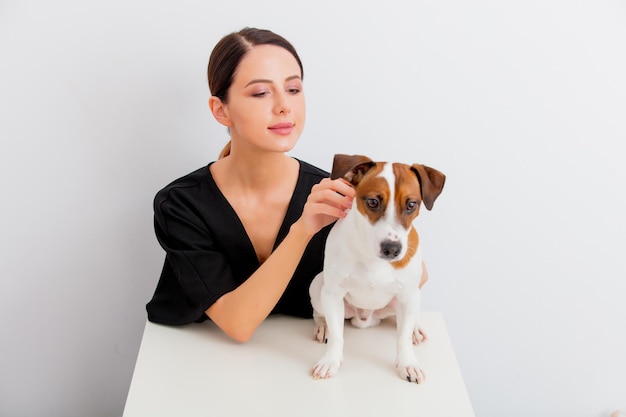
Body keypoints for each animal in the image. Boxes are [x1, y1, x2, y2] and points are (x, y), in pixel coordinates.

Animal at [308, 151, 444, 382]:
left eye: (411, 205)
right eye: (372, 202)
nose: (392, 249)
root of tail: (365, 319)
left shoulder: (408, 294)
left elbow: (402, 338)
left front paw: (407, 363)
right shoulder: (333, 293)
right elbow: (337, 335)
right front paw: (330, 360)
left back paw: (414, 329)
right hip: (318, 285)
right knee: (320, 313)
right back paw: (323, 326)